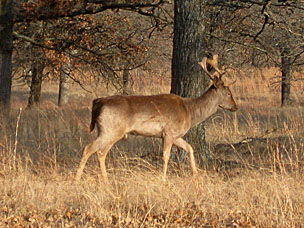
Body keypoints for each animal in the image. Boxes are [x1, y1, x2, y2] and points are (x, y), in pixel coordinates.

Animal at [75, 55, 238, 182]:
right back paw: (77, 180)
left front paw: (196, 175)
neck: (190, 112)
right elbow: (165, 156)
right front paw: (163, 179)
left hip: (107, 130)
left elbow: (190, 148)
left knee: (100, 152)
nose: (235, 107)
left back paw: (105, 180)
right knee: (89, 148)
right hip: (111, 130)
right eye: (228, 93)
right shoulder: (169, 132)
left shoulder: (175, 135)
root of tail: (98, 102)